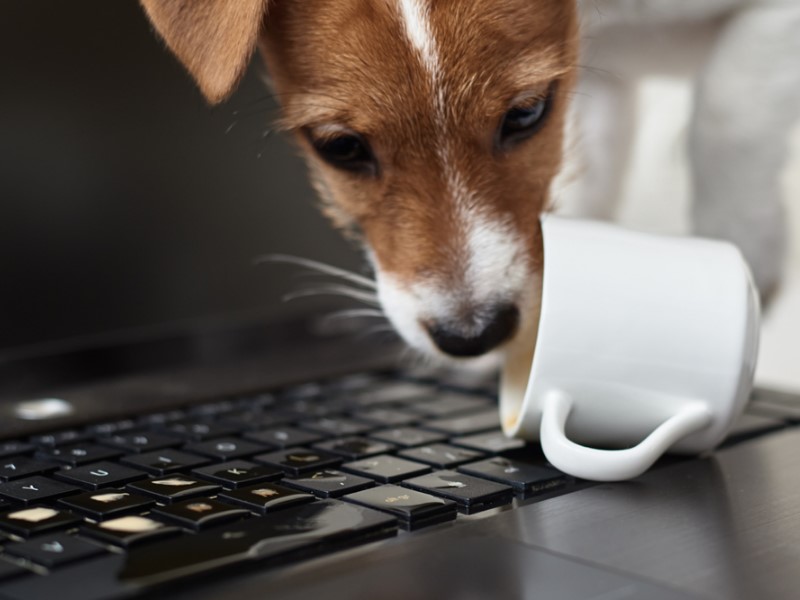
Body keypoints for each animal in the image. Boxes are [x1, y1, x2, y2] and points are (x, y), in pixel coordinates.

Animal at [139, 0, 800, 360]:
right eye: (340, 148)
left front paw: (740, 248)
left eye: (526, 113)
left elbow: (727, 111)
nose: (473, 336)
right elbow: (585, 178)